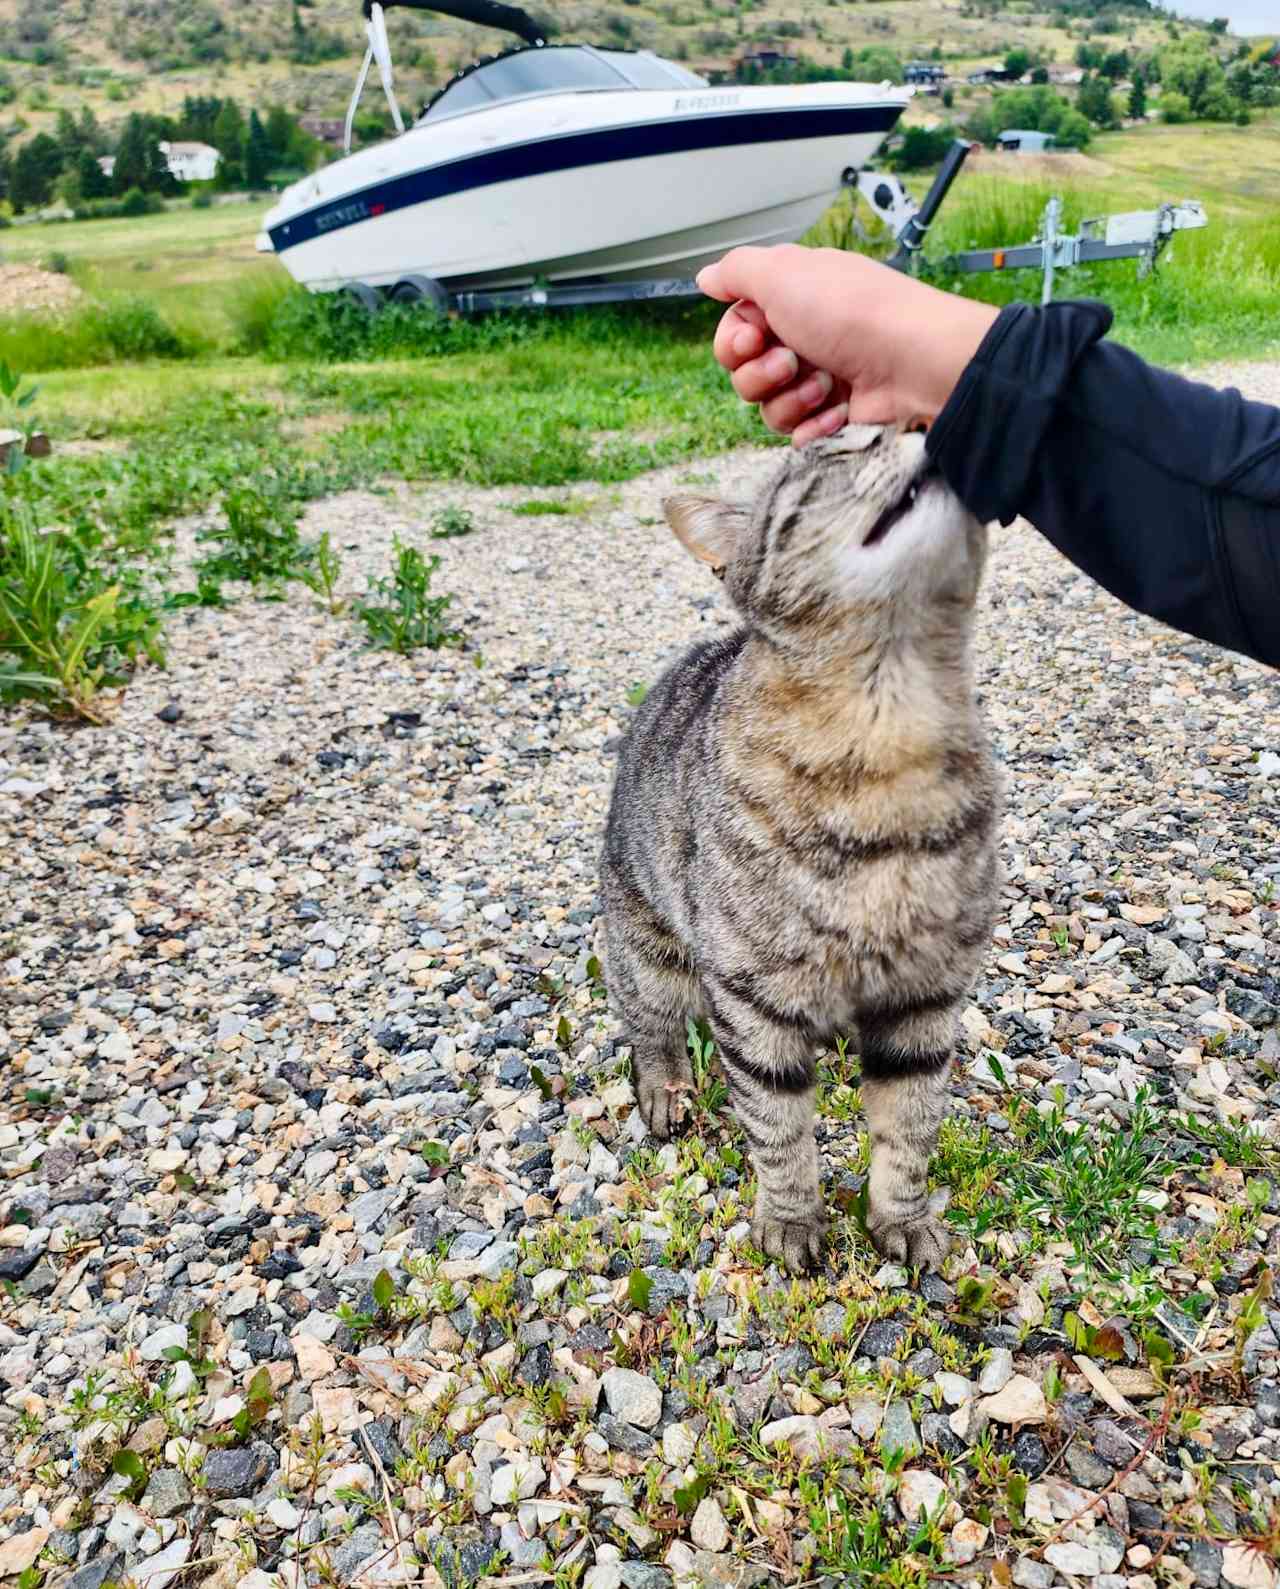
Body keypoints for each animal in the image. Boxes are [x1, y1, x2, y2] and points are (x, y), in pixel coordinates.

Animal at [600, 429, 1003, 1271]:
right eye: (848, 445)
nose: (919, 425)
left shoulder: (928, 995)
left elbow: (910, 1121)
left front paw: (902, 1215)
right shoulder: (754, 1000)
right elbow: (780, 1129)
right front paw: (790, 1220)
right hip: (649, 942)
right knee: (648, 1018)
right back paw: (665, 1084)